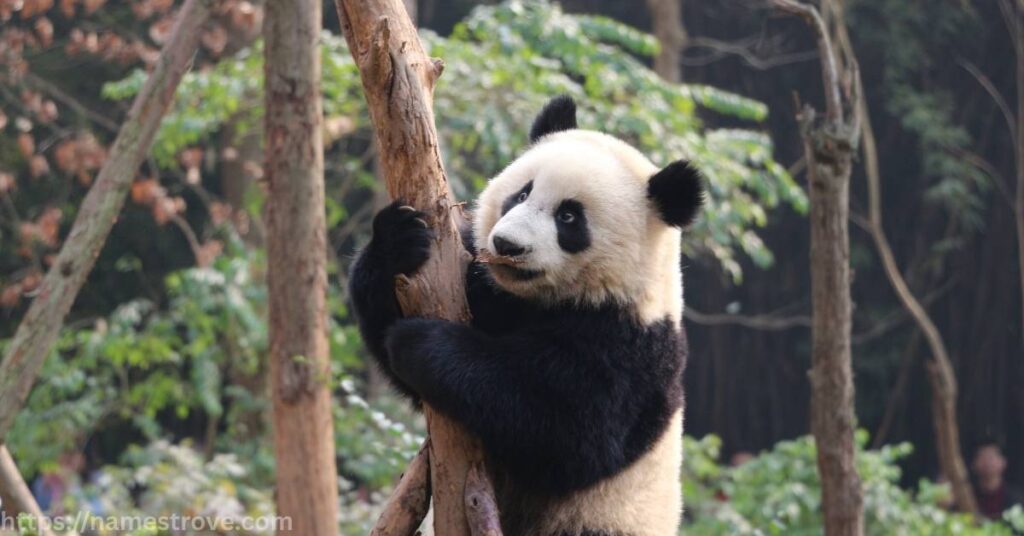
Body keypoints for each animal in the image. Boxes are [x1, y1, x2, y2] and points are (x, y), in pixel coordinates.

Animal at [349, 95, 704, 536]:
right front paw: (398, 240)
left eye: (569, 217)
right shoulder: (484, 286)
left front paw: (421, 341)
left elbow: (565, 431)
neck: (545, 298)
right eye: (520, 195)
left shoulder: (630, 346)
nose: (507, 245)